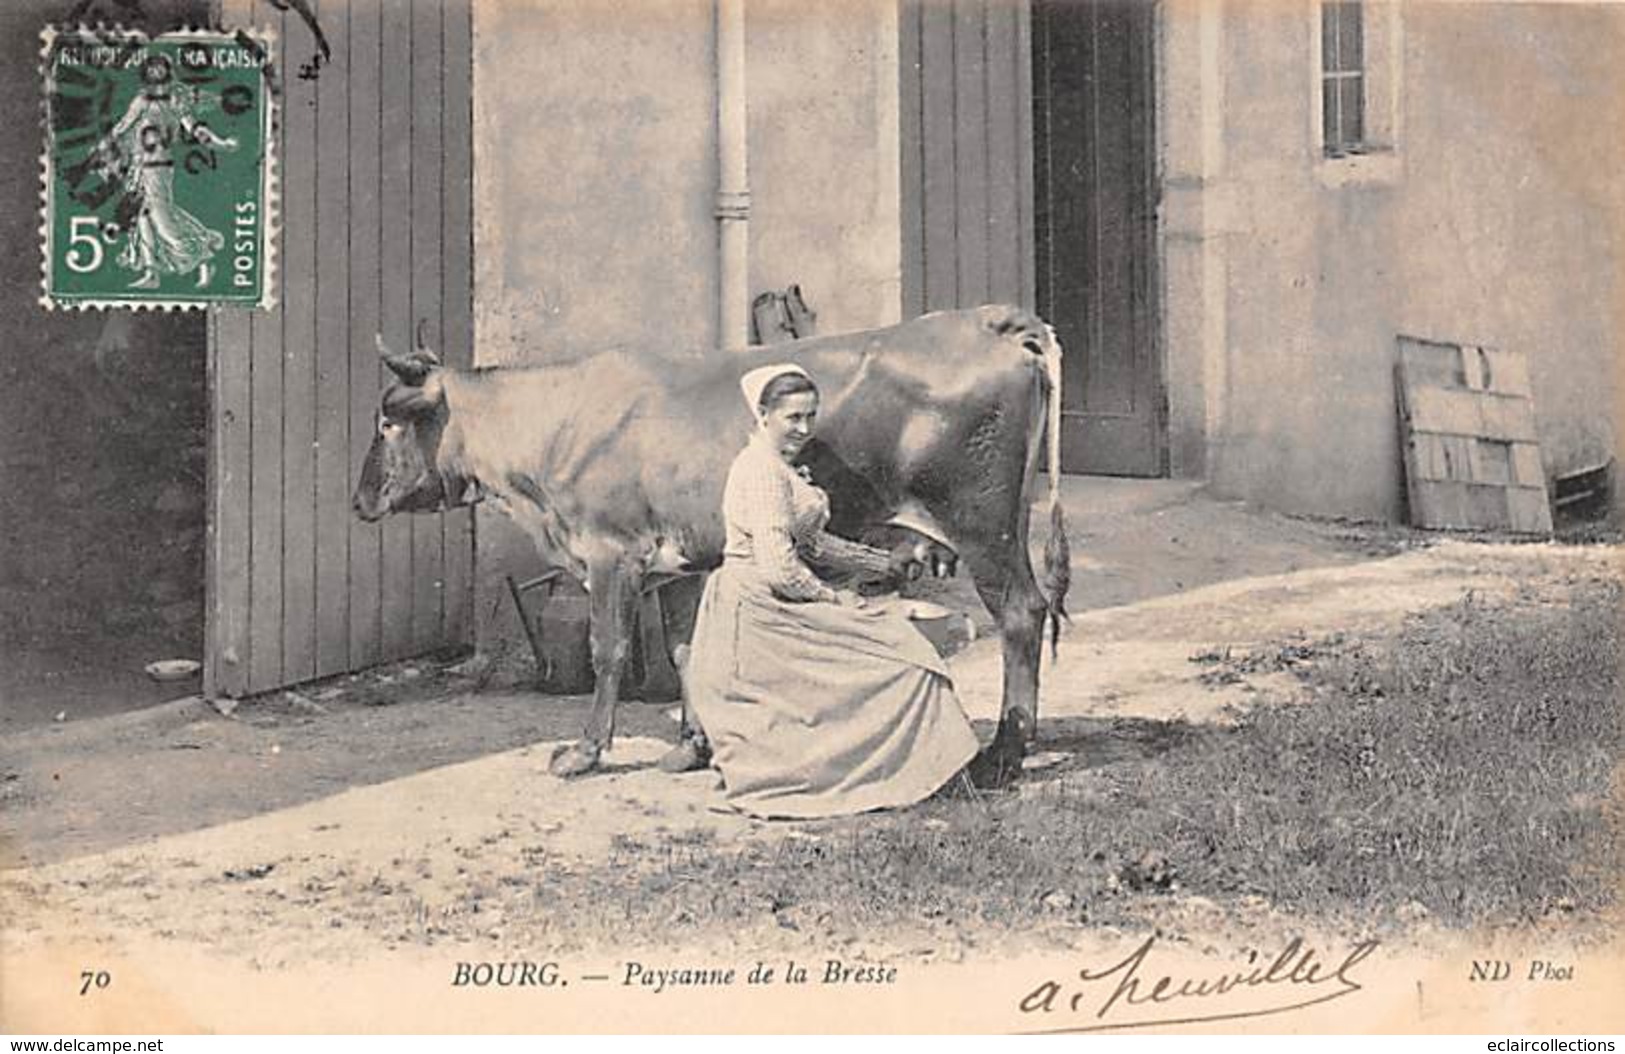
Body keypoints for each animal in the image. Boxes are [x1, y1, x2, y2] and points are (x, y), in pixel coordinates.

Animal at [349, 302, 1072, 779]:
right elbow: (684, 651)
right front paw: (691, 748)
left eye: (387, 422)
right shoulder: (682, 565)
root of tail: (991, 320)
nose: (358, 501)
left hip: (981, 524)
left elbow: (609, 651)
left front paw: (584, 752)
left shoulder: (612, 554)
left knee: (1020, 613)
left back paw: (1004, 751)